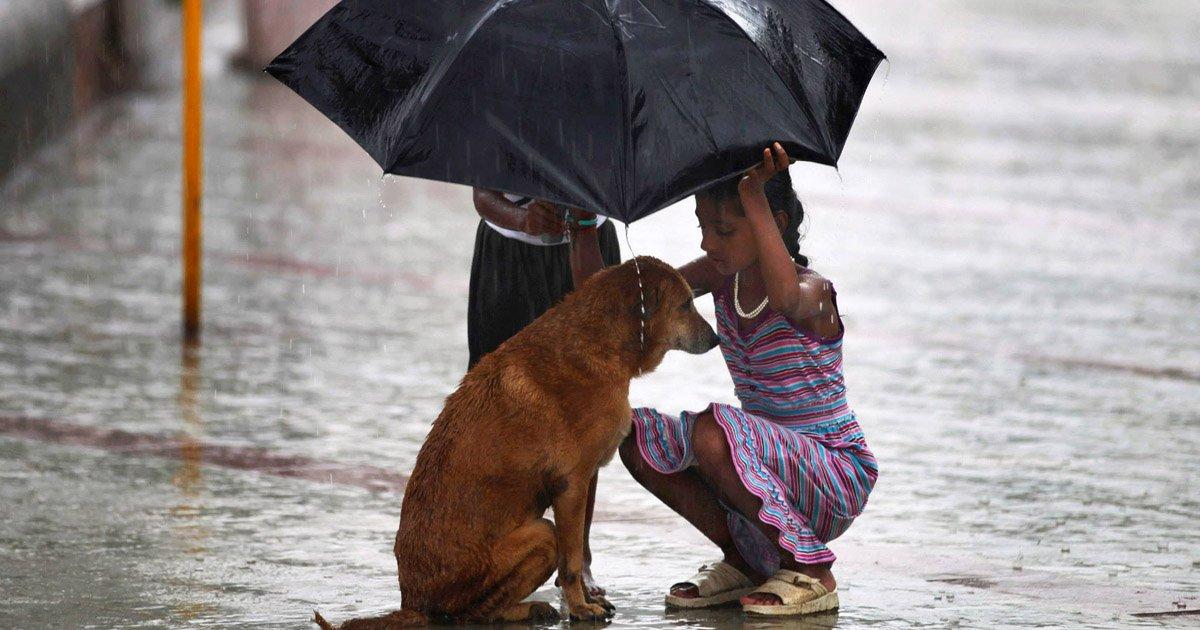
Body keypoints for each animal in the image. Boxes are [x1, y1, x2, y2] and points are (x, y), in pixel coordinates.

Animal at [314, 256, 715, 628]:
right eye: (685, 305)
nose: (715, 339)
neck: (598, 341)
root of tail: (413, 605)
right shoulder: (572, 486)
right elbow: (572, 562)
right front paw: (581, 607)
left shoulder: (581, 484)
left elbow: (577, 555)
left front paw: (584, 601)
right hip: (540, 535)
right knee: (473, 613)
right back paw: (526, 609)